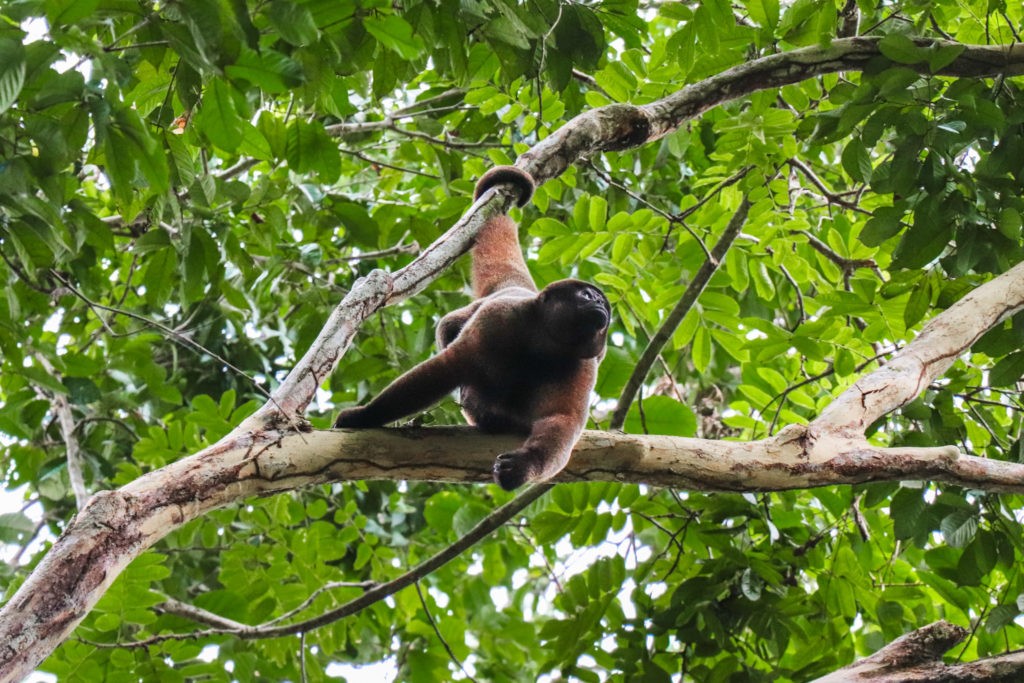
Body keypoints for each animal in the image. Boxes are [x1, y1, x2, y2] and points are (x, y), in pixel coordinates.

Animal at [333, 167, 606, 493]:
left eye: (601, 300)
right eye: (587, 295)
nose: (602, 305)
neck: (544, 341)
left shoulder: (583, 365)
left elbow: (562, 419)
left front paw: (523, 466)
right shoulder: (498, 319)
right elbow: (447, 368)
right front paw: (364, 416)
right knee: (450, 330)